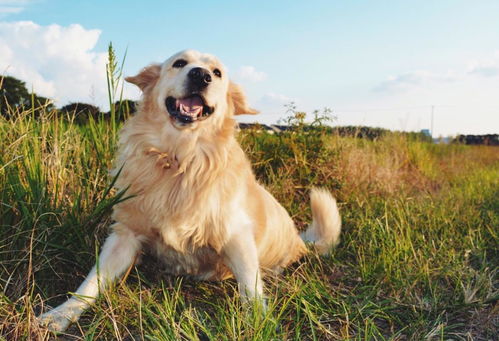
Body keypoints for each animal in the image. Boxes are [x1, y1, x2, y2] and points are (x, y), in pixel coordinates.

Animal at [39, 49, 342, 330]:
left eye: (217, 73)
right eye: (179, 63)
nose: (201, 75)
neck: (180, 159)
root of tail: (300, 242)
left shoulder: (236, 236)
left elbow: (251, 290)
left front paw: (258, 323)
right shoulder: (125, 234)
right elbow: (91, 283)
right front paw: (60, 314)